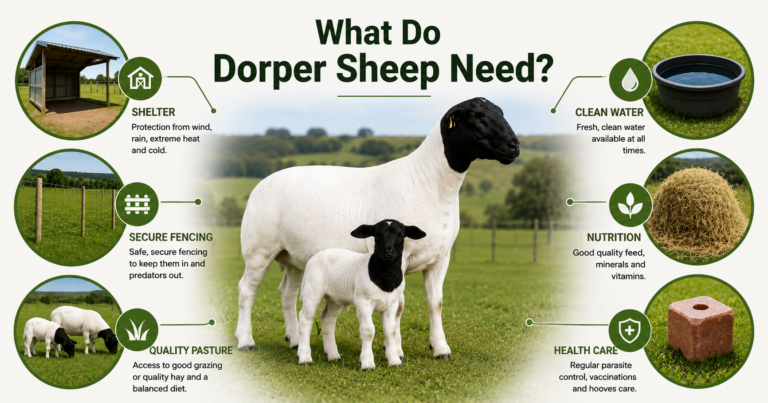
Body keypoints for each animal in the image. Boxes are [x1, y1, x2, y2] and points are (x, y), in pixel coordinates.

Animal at [297, 220, 426, 369]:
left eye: (401, 236)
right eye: (377, 235)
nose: (388, 251)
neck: (386, 278)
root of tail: (313, 259)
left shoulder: (391, 304)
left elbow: (391, 331)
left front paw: (394, 361)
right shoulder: (364, 302)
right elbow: (368, 331)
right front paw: (367, 363)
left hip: (335, 298)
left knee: (328, 320)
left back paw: (333, 355)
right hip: (312, 290)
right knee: (306, 319)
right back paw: (305, 358)